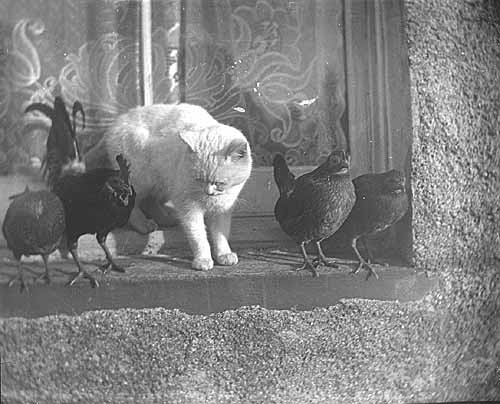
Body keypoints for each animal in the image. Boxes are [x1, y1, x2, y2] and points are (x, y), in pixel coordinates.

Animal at [84, 102, 254, 270]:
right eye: (199, 179)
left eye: (220, 183)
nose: (209, 192)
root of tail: (115, 124)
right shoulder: (189, 208)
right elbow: (198, 237)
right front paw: (203, 259)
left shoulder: (221, 211)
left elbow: (220, 236)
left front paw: (224, 255)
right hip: (142, 181)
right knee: (133, 204)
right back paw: (144, 224)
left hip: (162, 184)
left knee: (151, 202)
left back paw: (167, 219)